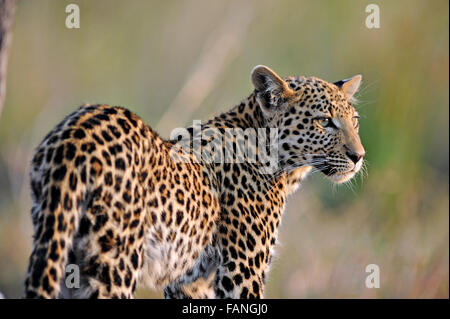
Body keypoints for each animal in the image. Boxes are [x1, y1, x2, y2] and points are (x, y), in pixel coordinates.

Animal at [22, 65, 364, 300]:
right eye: (324, 122)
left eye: (355, 121)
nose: (359, 156)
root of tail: (75, 134)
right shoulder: (241, 273)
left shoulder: (189, 281)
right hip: (114, 263)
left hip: (58, 245)